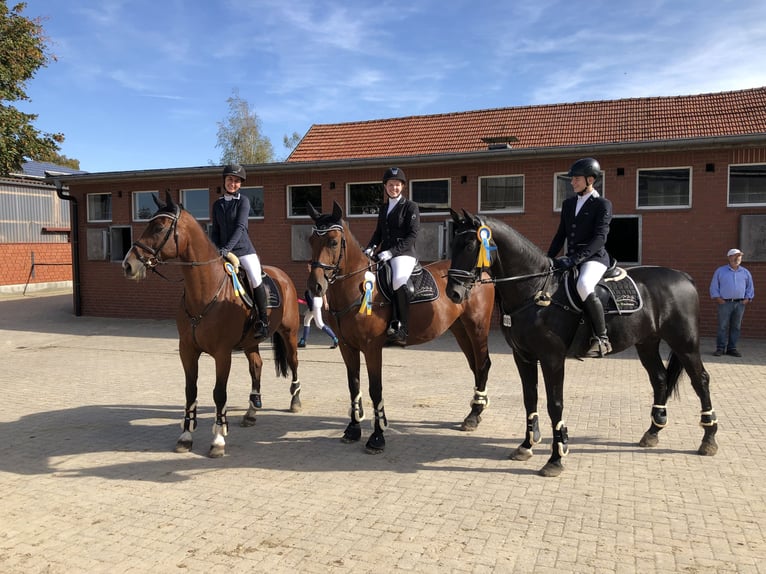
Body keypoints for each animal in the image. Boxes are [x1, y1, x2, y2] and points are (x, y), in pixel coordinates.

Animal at [121, 194, 302, 460]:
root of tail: (283, 276)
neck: (205, 292)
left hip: (289, 334)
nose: (128, 265)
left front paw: (218, 440)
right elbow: (190, 390)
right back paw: (251, 412)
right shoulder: (187, 350)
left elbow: (219, 393)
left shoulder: (222, 353)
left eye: (160, 227)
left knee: (293, 363)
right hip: (250, 342)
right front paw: (185, 437)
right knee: (256, 366)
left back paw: (295, 402)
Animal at [308, 202, 498, 454]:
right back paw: (475, 412)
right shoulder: (347, 347)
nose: (315, 286)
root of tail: (481, 272)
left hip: (477, 327)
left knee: (483, 364)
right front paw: (352, 430)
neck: (356, 288)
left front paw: (377, 437)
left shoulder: (371, 348)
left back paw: (474, 416)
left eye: (333, 241)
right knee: (476, 366)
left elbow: (375, 389)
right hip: (460, 329)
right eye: (311, 240)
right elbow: (353, 386)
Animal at [444, 210, 720, 476]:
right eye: (453, 244)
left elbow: (555, 404)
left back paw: (708, 439)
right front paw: (527, 445)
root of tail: (683, 276)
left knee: (701, 380)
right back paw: (653, 432)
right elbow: (530, 398)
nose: (453, 293)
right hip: (647, 343)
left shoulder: (552, 358)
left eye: (469, 245)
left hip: (684, 343)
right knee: (660, 378)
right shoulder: (523, 356)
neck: (536, 291)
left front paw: (556, 458)